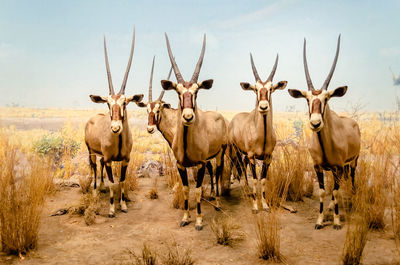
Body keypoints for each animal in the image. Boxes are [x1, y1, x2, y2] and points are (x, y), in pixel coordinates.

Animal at [85, 27, 145, 217]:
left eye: (125, 102)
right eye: (108, 103)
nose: (116, 128)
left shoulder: (125, 159)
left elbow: (123, 181)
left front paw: (123, 205)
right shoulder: (110, 160)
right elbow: (114, 183)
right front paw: (111, 209)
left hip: (102, 156)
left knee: (100, 166)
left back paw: (102, 187)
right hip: (91, 151)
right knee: (94, 167)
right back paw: (95, 190)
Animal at [160, 34, 228, 230]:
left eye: (196, 92)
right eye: (178, 92)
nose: (188, 116)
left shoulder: (200, 164)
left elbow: (197, 191)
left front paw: (198, 220)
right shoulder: (181, 165)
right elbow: (185, 189)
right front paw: (185, 217)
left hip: (220, 153)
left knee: (218, 173)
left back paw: (218, 203)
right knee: (214, 172)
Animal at [228, 52, 288, 211]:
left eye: (271, 88)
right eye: (255, 89)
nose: (263, 107)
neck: (262, 136)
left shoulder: (268, 157)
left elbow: (263, 180)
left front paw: (265, 204)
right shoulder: (252, 156)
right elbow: (255, 179)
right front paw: (255, 205)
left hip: (243, 153)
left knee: (242, 165)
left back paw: (247, 188)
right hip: (234, 149)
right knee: (235, 164)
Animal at [286, 35, 360, 229]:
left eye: (326, 98)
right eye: (307, 99)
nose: (315, 123)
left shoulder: (338, 168)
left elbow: (335, 193)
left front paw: (336, 221)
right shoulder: (318, 167)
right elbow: (322, 192)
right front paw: (320, 220)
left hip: (353, 162)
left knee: (352, 179)